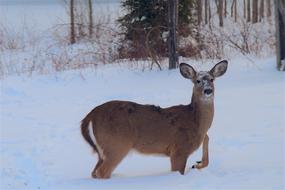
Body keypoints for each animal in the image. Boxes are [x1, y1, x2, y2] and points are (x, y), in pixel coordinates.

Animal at [80, 60, 226, 179]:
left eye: (212, 79)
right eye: (197, 81)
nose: (208, 91)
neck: (196, 122)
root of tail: (90, 116)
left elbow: (207, 141)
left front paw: (197, 164)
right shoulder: (179, 149)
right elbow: (178, 171)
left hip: (103, 150)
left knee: (94, 172)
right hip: (116, 144)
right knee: (102, 172)